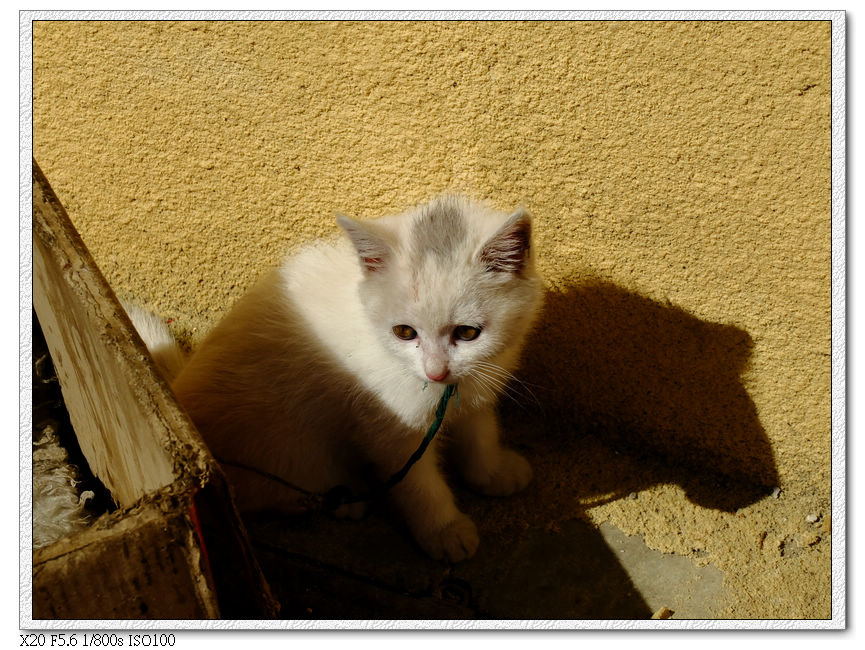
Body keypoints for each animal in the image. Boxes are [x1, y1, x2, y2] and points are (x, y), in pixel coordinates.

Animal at [132, 195, 544, 560]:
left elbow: (479, 434)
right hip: (292, 448)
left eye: (468, 333)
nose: (436, 370)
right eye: (404, 333)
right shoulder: (389, 429)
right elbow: (418, 485)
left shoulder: (478, 383)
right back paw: (343, 499)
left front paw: (492, 473)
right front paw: (444, 531)